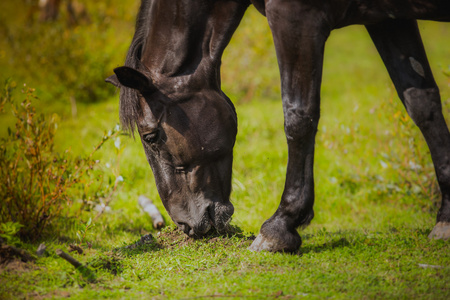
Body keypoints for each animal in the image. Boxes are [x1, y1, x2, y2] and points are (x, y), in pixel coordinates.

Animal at [107, 0, 450, 253]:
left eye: (151, 136)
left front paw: (280, 226)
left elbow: (298, 117)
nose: (186, 226)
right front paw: (445, 218)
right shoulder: (389, 20)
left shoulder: (295, 18)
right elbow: (423, 103)